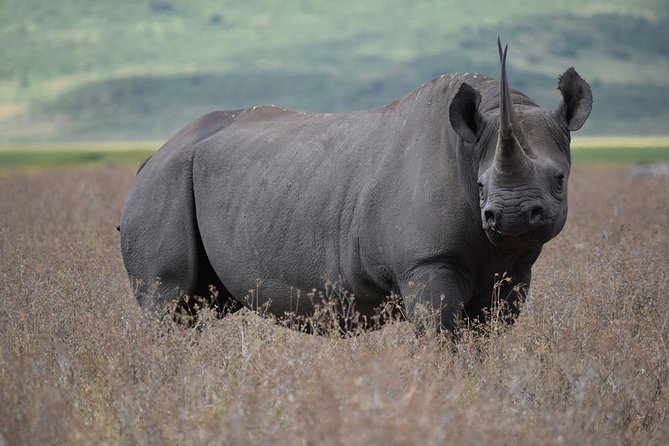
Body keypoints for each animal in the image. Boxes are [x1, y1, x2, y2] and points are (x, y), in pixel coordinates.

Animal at [119, 40, 592, 335]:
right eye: (478, 185)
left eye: (559, 180)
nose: (510, 216)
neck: (469, 148)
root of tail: (152, 157)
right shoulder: (425, 261)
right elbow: (443, 335)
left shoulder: (514, 270)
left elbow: (487, 337)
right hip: (164, 183)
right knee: (168, 304)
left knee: (198, 308)